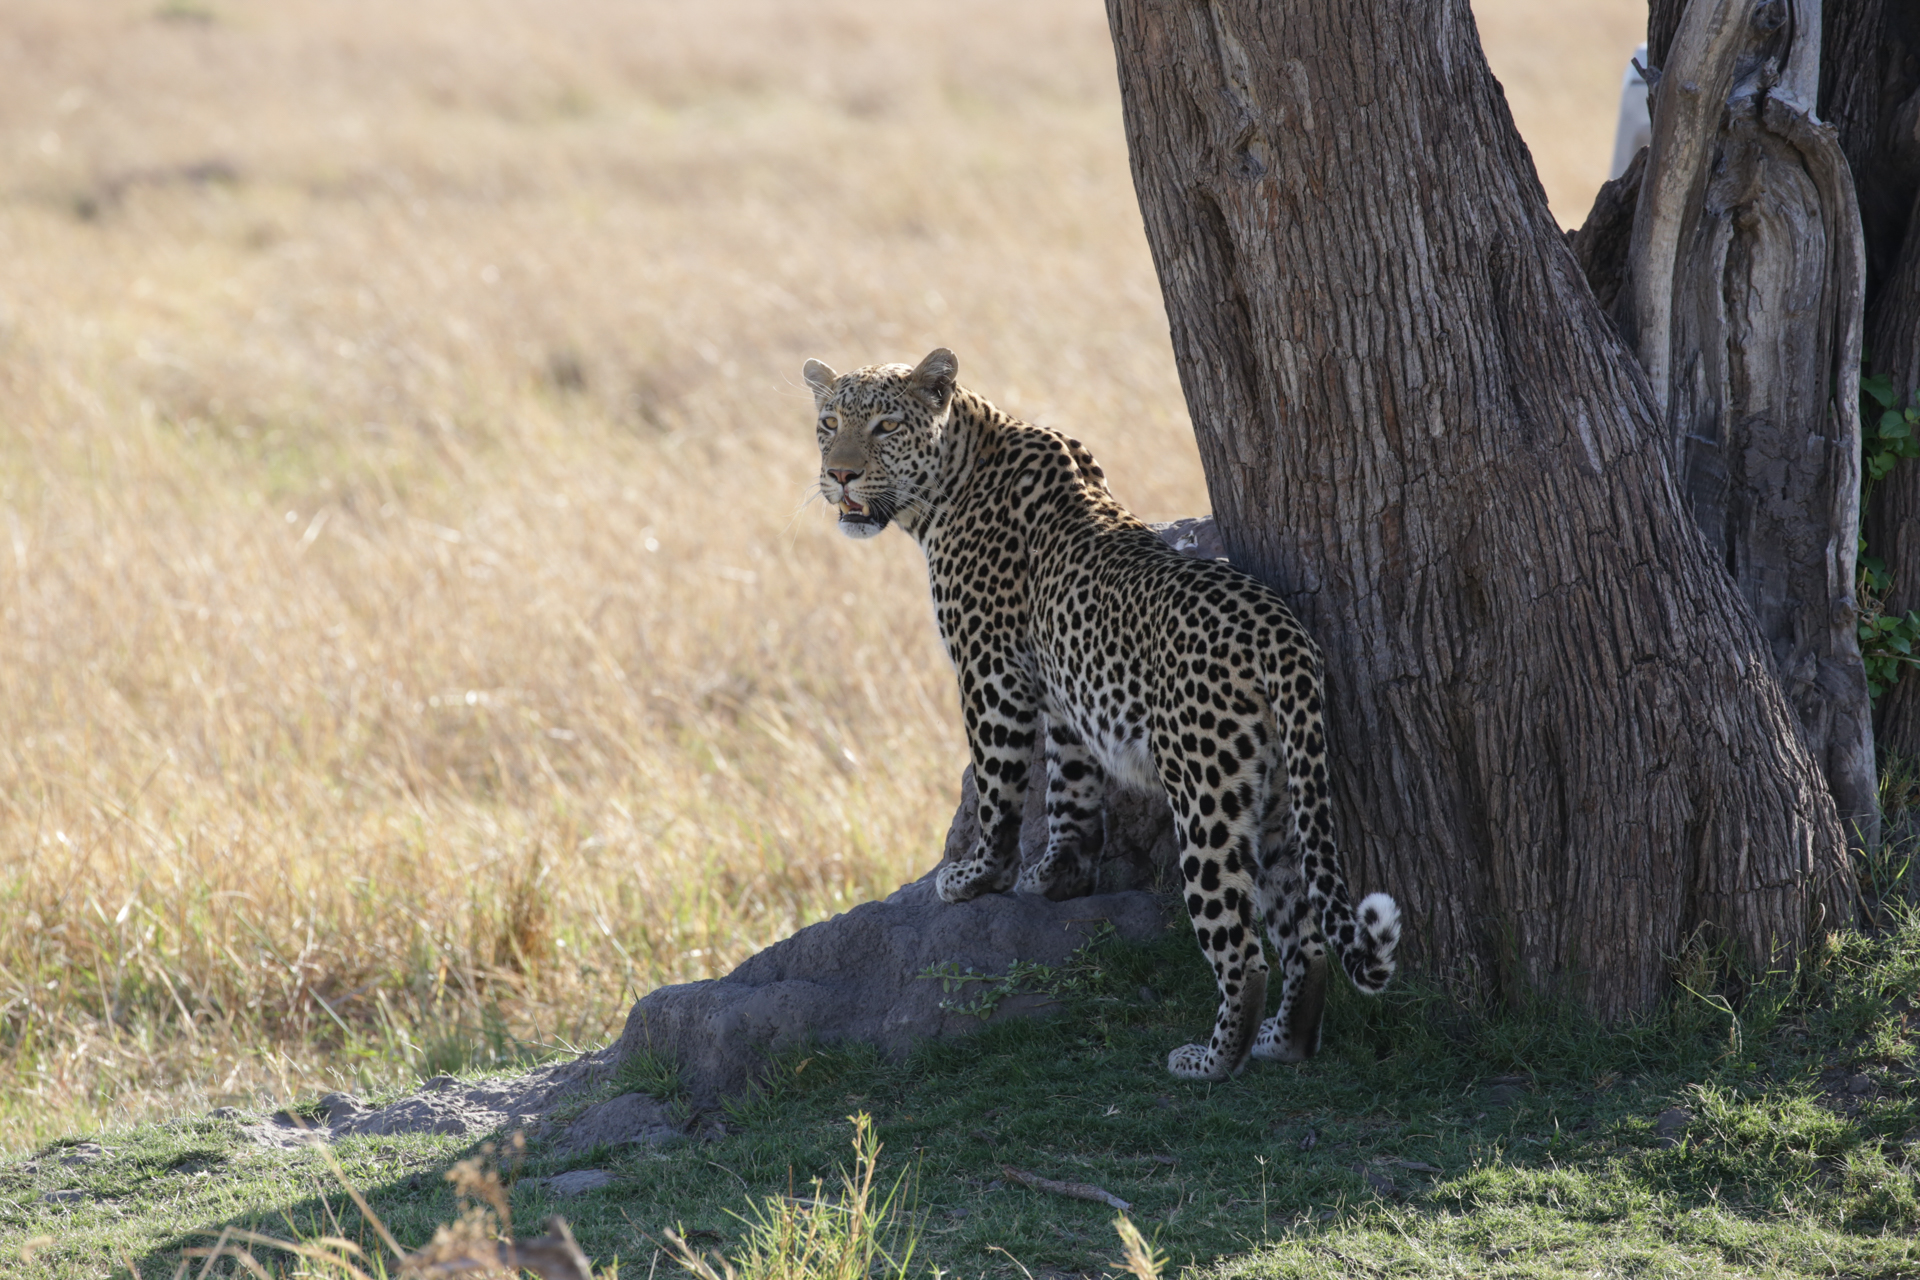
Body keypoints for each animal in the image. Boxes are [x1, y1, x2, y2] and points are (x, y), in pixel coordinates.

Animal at [802, 347, 1405, 1082]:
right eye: (829, 424)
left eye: (885, 426)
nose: (840, 475)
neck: (955, 474)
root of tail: (1280, 632)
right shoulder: (1065, 688)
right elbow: (1070, 782)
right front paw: (1058, 872)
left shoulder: (991, 673)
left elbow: (999, 783)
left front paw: (978, 876)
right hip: (1281, 799)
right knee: (1305, 937)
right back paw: (1282, 1043)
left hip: (1207, 799)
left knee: (1243, 950)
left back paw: (1210, 1061)